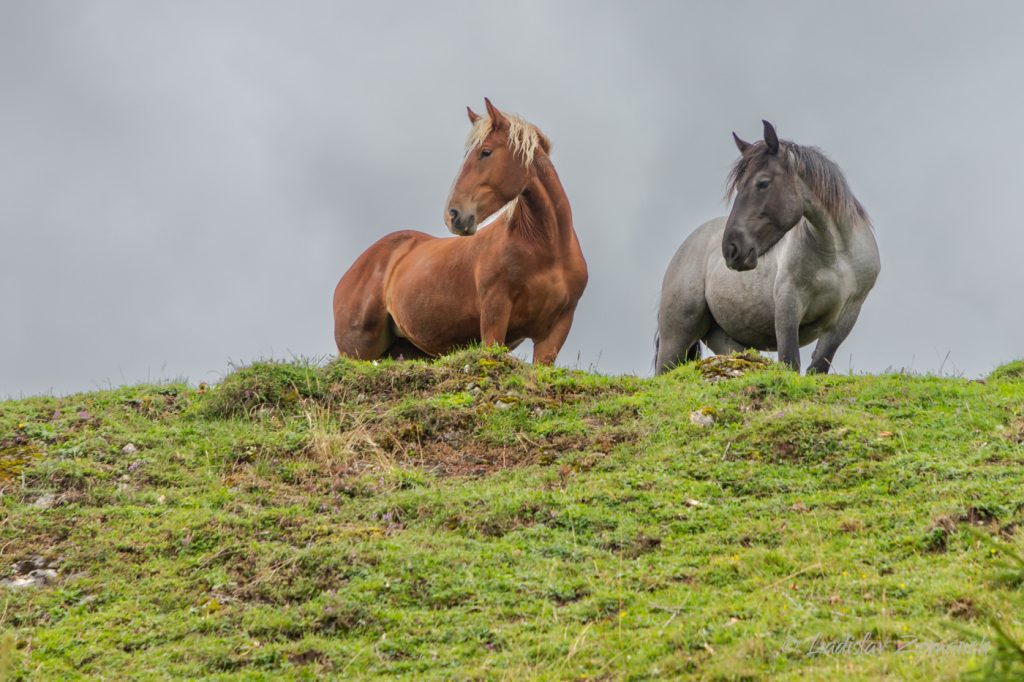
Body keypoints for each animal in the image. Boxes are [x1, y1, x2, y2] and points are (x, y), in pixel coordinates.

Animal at [331, 98, 589, 364]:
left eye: (486, 152)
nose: (453, 215)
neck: (547, 250)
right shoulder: (495, 312)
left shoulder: (555, 331)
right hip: (356, 351)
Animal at [655, 123, 880, 376]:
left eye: (762, 183)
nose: (732, 249)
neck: (836, 255)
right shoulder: (788, 304)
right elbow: (790, 361)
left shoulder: (847, 314)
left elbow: (818, 367)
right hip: (676, 338)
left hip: (724, 338)